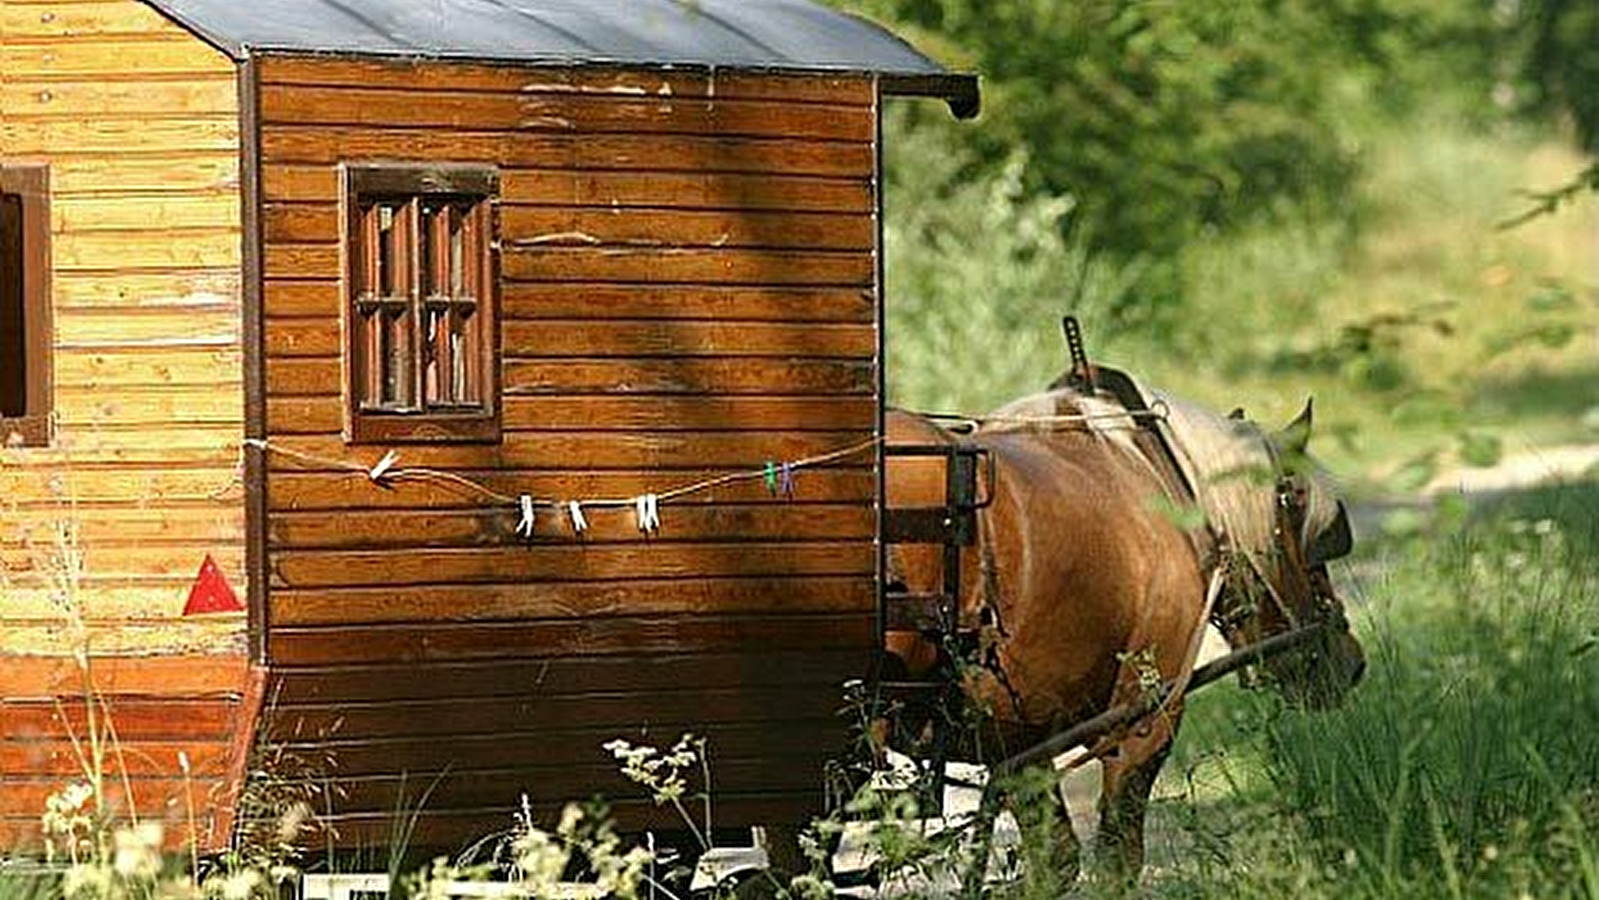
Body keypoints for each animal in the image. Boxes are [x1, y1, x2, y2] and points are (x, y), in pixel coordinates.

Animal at [889, 377, 1362, 882]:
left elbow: (1056, 862)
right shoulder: (1144, 723)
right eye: (1304, 531)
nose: (1351, 660)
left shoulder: (1019, 743)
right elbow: (1116, 861)